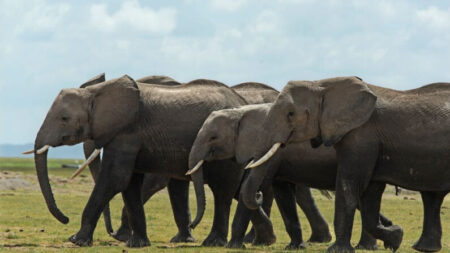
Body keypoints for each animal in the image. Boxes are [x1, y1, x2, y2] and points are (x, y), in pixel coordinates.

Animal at [30, 74, 274, 247]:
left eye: (64, 119)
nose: (64, 219)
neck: (96, 92)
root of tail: (241, 100)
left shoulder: (127, 132)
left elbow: (115, 179)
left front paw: (77, 240)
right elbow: (129, 183)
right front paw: (136, 244)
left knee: (223, 189)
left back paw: (214, 243)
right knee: (241, 190)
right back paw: (264, 240)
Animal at [188, 102, 396, 249]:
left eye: (213, 137)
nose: (192, 225)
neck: (242, 111)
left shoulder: (272, 152)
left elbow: (255, 185)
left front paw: (234, 246)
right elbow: (282, 193)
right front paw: (295, 247)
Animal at [243, 76, 450, 253]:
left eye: (291, 114)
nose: (259, 195)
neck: (322, 84)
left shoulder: (362, 136)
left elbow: (349, 186)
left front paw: (337, 250)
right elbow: (369, 195)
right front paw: (396, 238)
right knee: (432, 197)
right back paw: (424, 248)